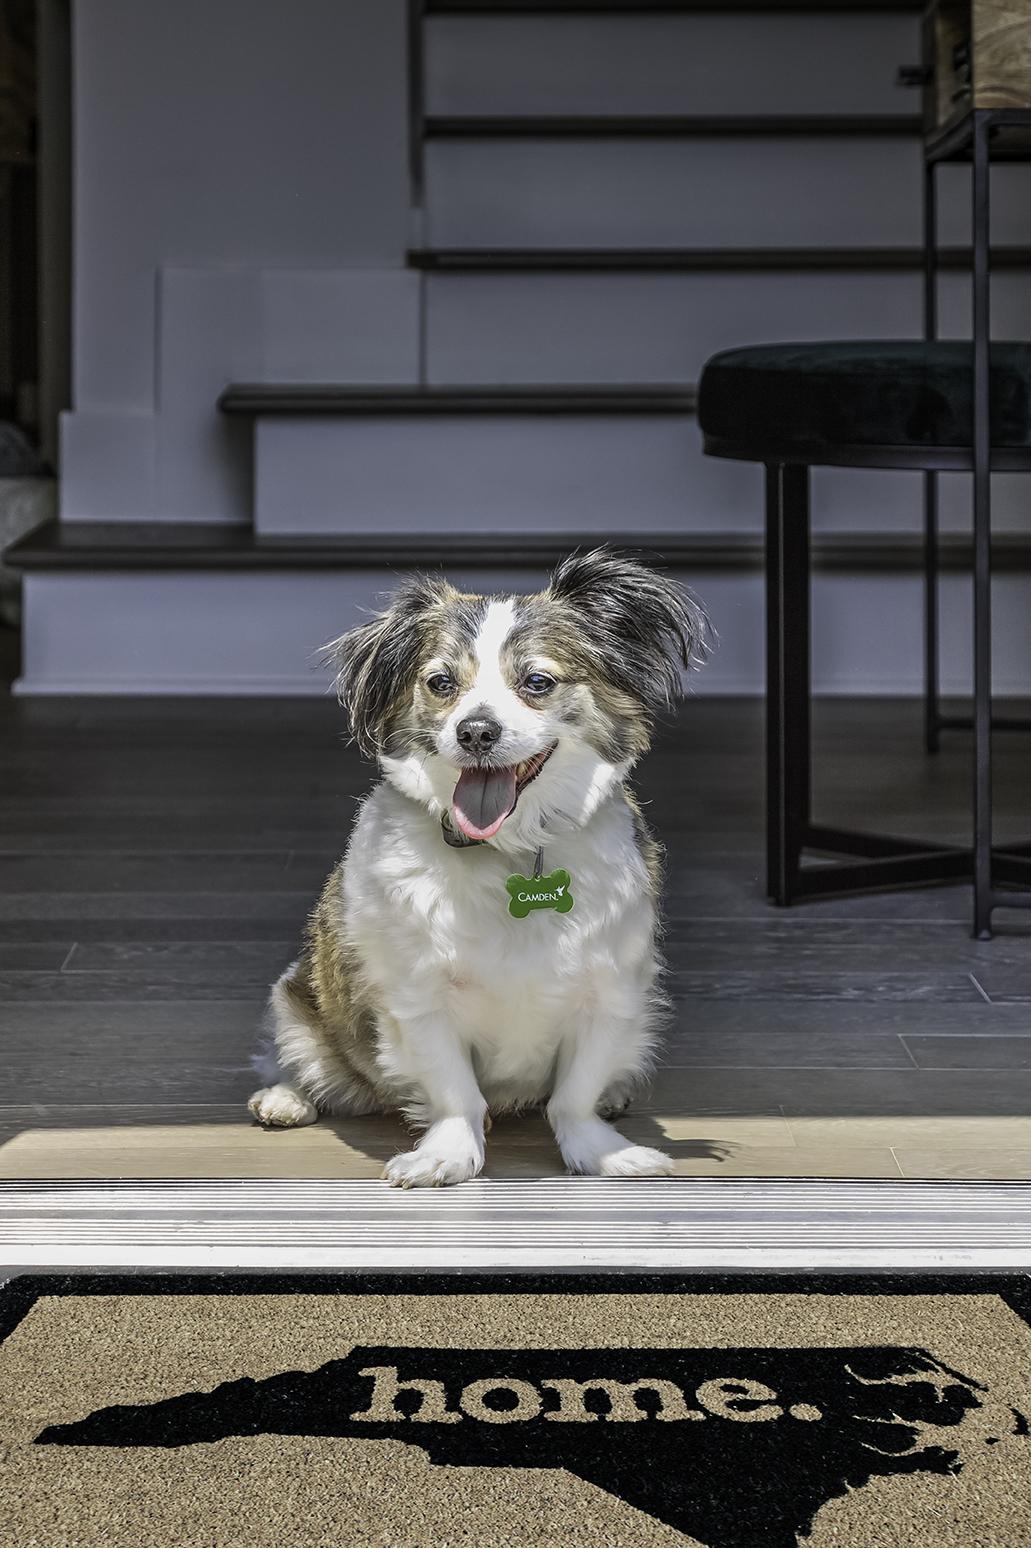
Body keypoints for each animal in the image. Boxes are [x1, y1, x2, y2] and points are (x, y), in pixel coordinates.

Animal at [248, 549, 706, 1187]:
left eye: (537, 682)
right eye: (441, 683)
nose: (476, 731)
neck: (510, 847)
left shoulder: (610, 992)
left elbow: (574, 1095)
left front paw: (602, 1153)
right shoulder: (420, 999)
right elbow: (454, 1092)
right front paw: (449, 1155)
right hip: (294, 998)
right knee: (301, 1059)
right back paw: (285, 1098)